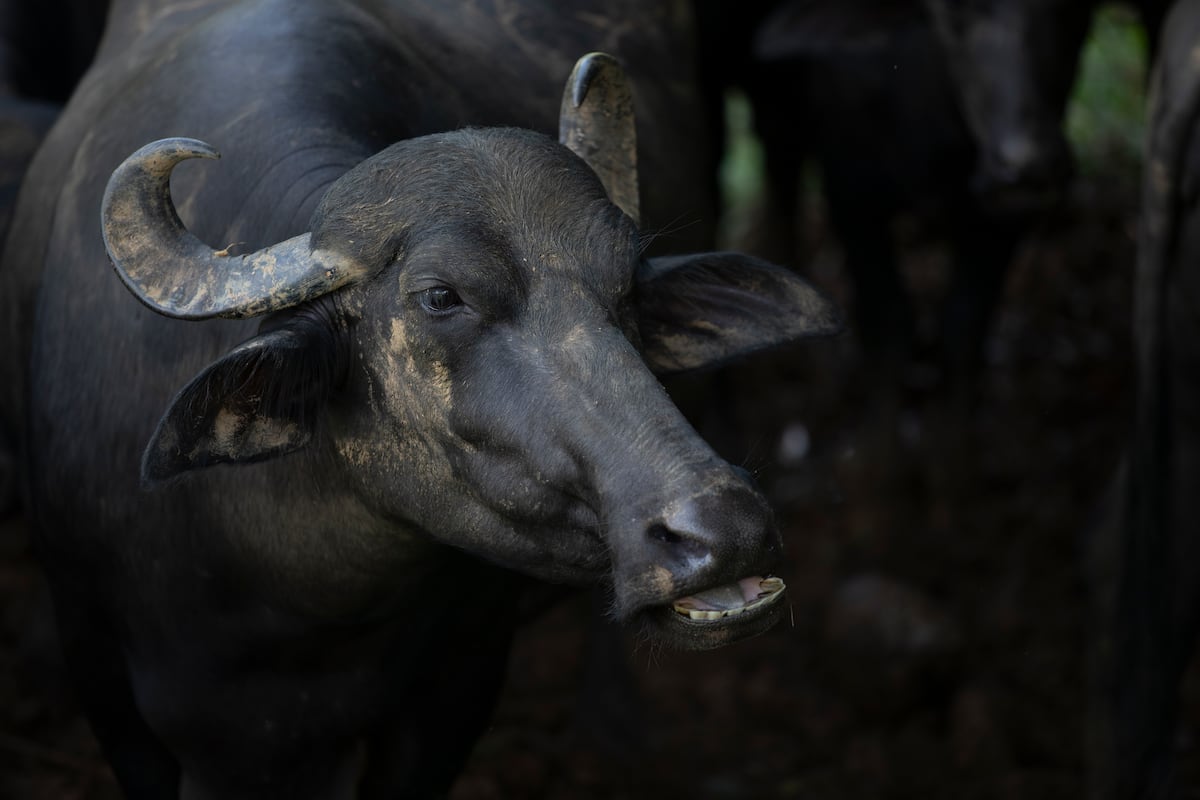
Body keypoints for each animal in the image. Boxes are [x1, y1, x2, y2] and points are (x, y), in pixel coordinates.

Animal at [0, 1, 835, 800]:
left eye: (627, 282)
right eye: (441, 297)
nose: (726, 531)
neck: (305, 610)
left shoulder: (455, 689)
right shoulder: (115, 692)